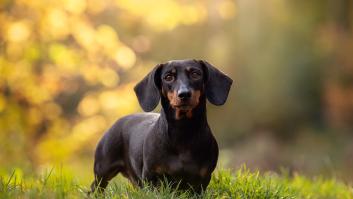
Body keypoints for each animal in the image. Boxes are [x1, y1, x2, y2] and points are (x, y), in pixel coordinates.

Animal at [90, 59, 231, 193]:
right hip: (102, 171)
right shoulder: (151, 177)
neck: (183, 132)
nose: (184, 94)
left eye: (196, 74)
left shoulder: (202, 179)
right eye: (168, 77)